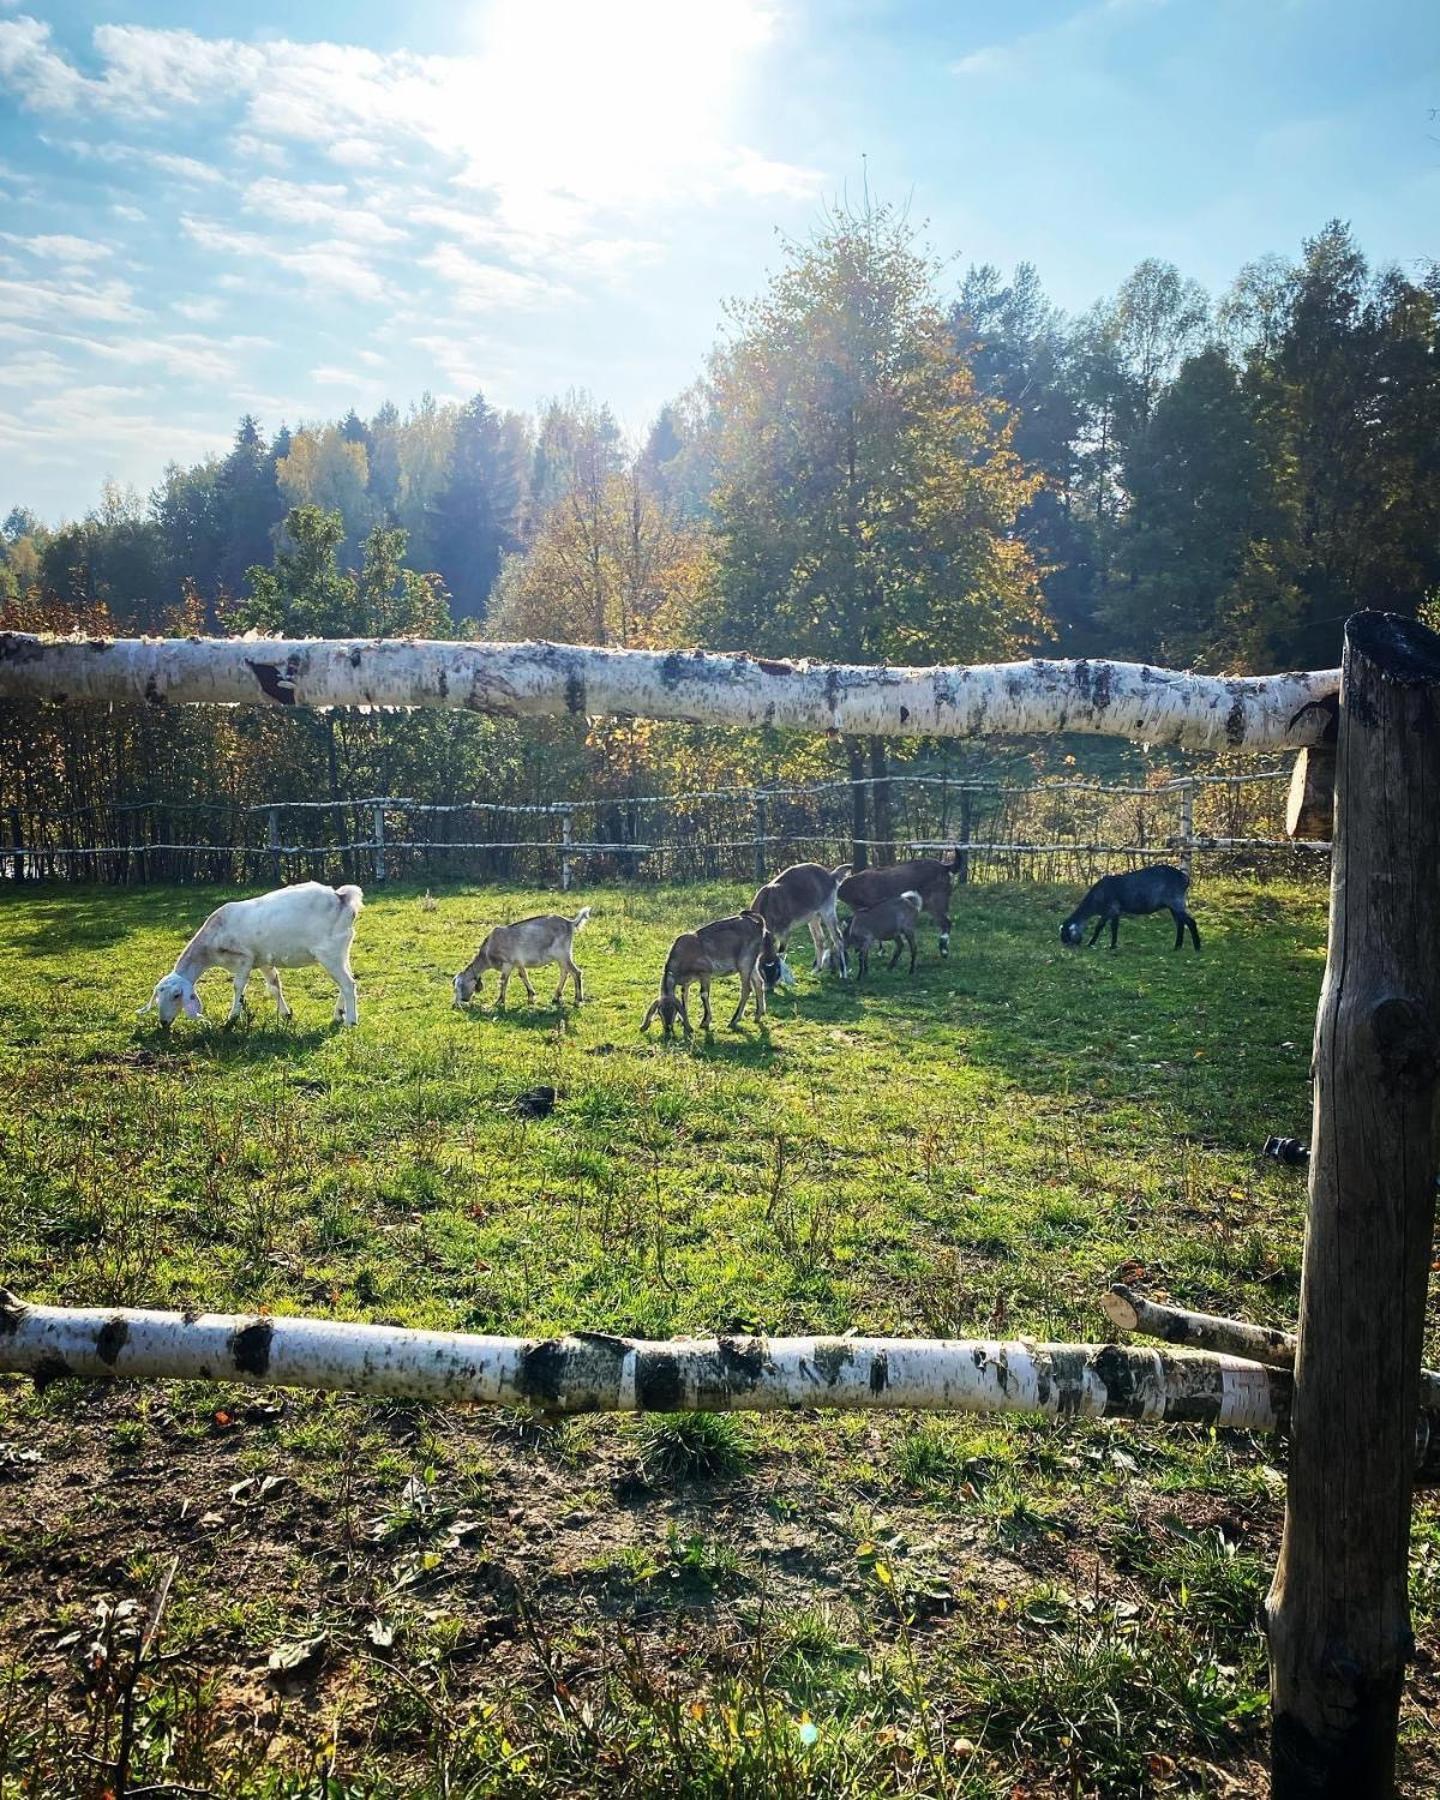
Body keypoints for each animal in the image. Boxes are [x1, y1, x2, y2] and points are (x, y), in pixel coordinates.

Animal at [139, 882, 365, 1029]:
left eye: (177, 995)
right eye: (157, 995)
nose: (163, 1023)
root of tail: (343, 898)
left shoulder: (244, 958)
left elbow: (238, 986)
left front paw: (232, 1018)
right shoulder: (264, 960)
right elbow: (274, 986)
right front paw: (285, 1014)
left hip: (329, 952)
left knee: (348, 984)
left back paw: (351, 1021)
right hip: (341, 950)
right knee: (346, 981)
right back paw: (338, 1015)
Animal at [450, 907, 583, 1008]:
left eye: (459, 987)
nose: (456, 1004)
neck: (487, 952)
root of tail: (570, 923)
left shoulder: (507, 963)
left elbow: (503, 981)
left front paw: (499, 1002)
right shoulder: (518, 963)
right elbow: (523, 976)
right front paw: (530, 997)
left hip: (562, 954)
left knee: (576, 972)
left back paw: (578, 1000)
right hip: (562, 956)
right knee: (565, 972)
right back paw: (556, 997)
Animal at [640, 914, 777, 1044]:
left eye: (673, 1011)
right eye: (659, 1012)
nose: (668, 1029)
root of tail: (759, 925)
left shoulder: (705, 973)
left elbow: (704, 994)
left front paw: (705, 1022)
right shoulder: (687, 982)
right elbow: (684, 995)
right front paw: (683, 1020)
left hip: (745, 963)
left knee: (746, 989)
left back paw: (734, 1020)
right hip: (752, 964)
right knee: (759, 983)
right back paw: (758, 1015)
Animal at [1058, 860, 1202, 950]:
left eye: (1066, 936)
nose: (1067, 947)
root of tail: (1184, 878)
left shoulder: (1111, 909)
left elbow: (1100, 927)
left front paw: (1092, 943)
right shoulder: (1116, 911)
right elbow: (1114, 927)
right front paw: (1113, 945)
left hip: (1176, 901)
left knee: (1190, 922)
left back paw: (1197, 947)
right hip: (1173, 906)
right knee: (1180, 924)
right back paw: (1177, 947)